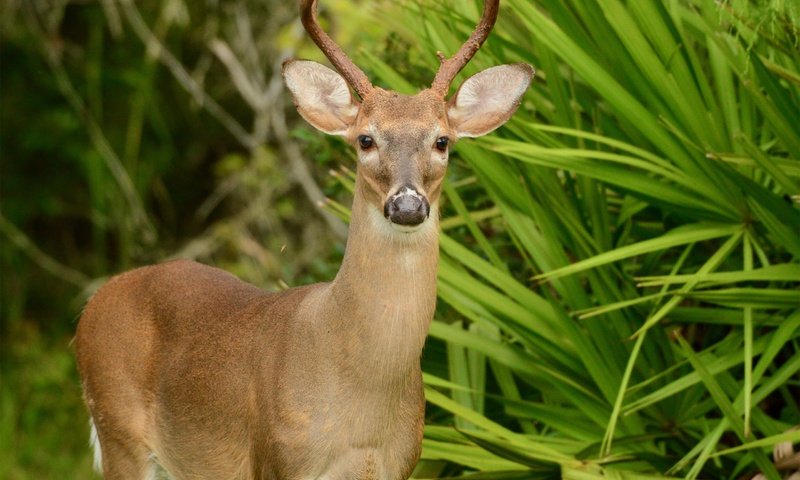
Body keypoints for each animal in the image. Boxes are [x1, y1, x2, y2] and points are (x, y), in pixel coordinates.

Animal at [76, 0, 532, 478]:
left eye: (442, 141)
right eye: (365, 139)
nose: (407, 205)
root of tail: (94, 303)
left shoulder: (401, 462)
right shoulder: (276, 458)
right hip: (117, 430)